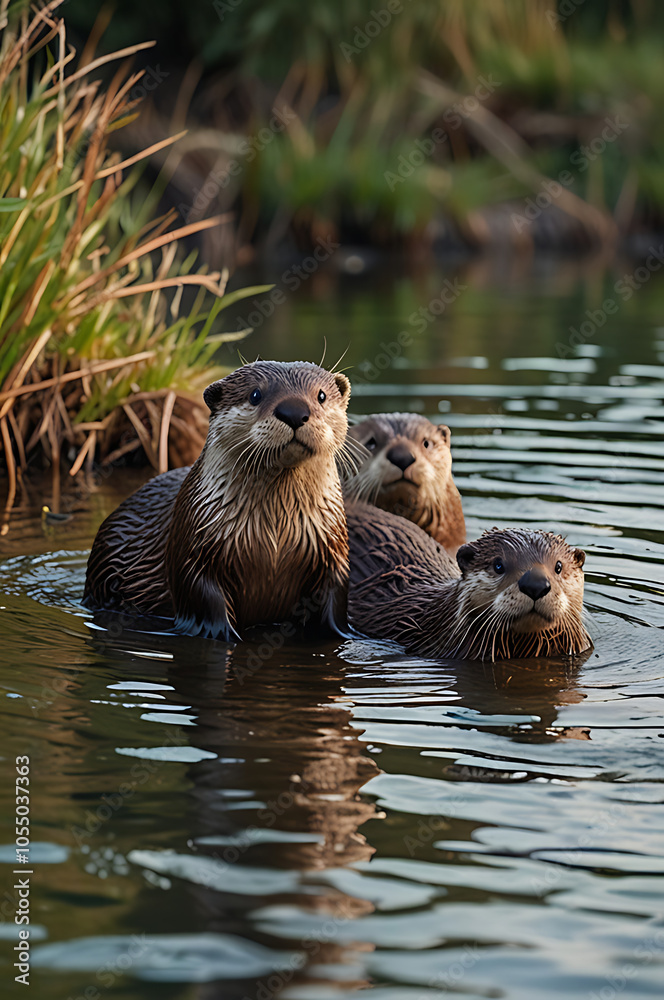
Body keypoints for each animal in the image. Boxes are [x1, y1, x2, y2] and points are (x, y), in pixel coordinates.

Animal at [83, 361, 352, 640]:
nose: (294, 412)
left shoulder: (333, 552)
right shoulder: (194, 552)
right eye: (255, 394)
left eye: (321, 396)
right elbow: (204, 600)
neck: (276, 537)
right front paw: (226, 635)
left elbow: (334, 600)